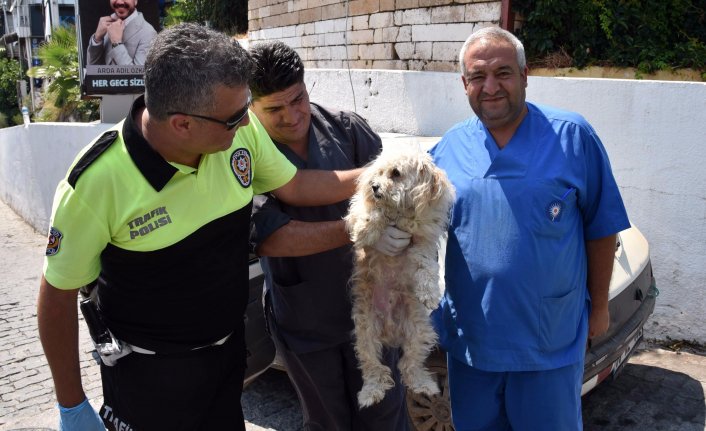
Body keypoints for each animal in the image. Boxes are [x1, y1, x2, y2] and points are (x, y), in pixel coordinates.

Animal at [344, 148, 454, 408]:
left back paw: (424, 385)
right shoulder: (359, 208)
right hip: (365, 332)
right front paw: (367, 227)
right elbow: (368, 213)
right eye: (379, 172)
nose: (374, 186)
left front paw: (429, 294)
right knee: (372, 366)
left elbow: (426, 266)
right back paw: (370, 392)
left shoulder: (423, 241)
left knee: (409, 364)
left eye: (396, 173)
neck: (401, 213)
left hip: (419, 331)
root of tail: (390, 334)